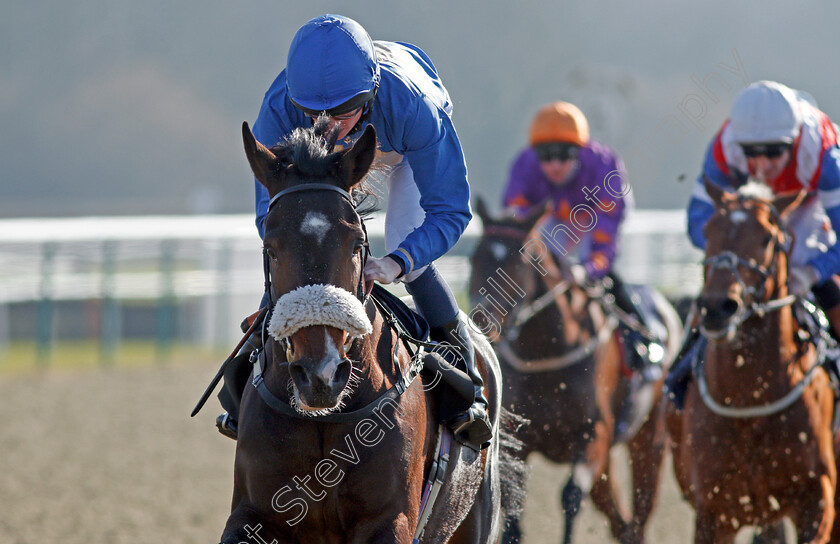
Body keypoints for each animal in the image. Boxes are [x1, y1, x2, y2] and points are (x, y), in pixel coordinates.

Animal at [221, 120, 512, 544]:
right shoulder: (252, 514)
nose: (321, 374)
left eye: (357, 244)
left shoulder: (390, 520)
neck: (324, 417)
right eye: (271, 247)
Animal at [470, 201, 680, 544]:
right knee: (621, 521)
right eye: (475, 257)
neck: (550, 354)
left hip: (650, 437)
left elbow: (570, 497)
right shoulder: (519, 441)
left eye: (519, 258)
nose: (480, 318)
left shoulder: (593, 435)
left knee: (639, 513)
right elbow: (514, 515)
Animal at [668, 181, 836, 540]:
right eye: (708, 230)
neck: (751, 399)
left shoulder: (818, 498)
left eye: (767, 238)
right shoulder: (713, 511)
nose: (717, 307)